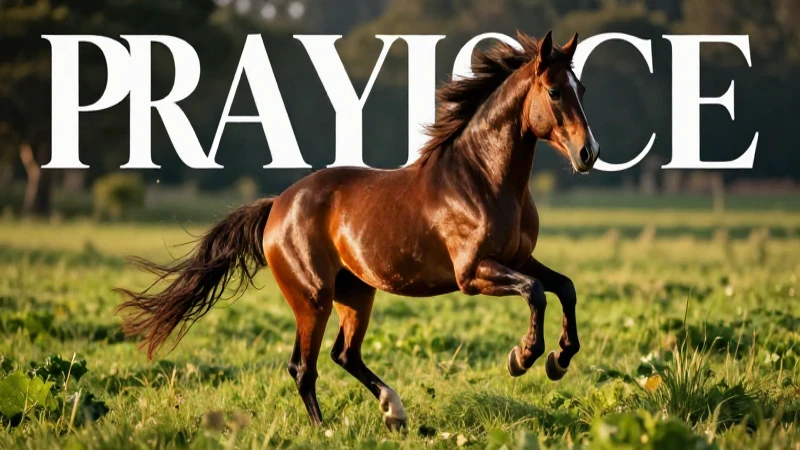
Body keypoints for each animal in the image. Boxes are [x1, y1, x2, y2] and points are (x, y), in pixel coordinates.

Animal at [117, 30, 600, 431]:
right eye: (555, 91)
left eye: (582, 90)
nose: (588, 153)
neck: (483, 179)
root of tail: (278, 206)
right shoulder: (474, 274)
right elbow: (536, 292)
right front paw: (524, 357)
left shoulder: (518, 258)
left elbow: (565, 287)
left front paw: (559, 359)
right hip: (313, 299)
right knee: (304, 367)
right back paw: (326, 429)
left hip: (356, 292)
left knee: (344, 354)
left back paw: (394, 412)